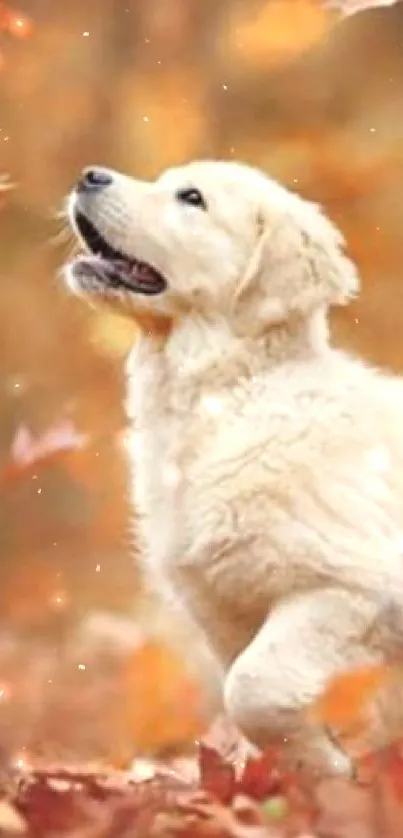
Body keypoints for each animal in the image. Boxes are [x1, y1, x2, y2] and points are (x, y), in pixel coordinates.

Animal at [64, 162, 403, 780]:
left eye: (192, 198)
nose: (89, 175)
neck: (228, 396)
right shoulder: (222, 608)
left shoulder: (355, 588)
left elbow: (253, 686)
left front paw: (329, 772)